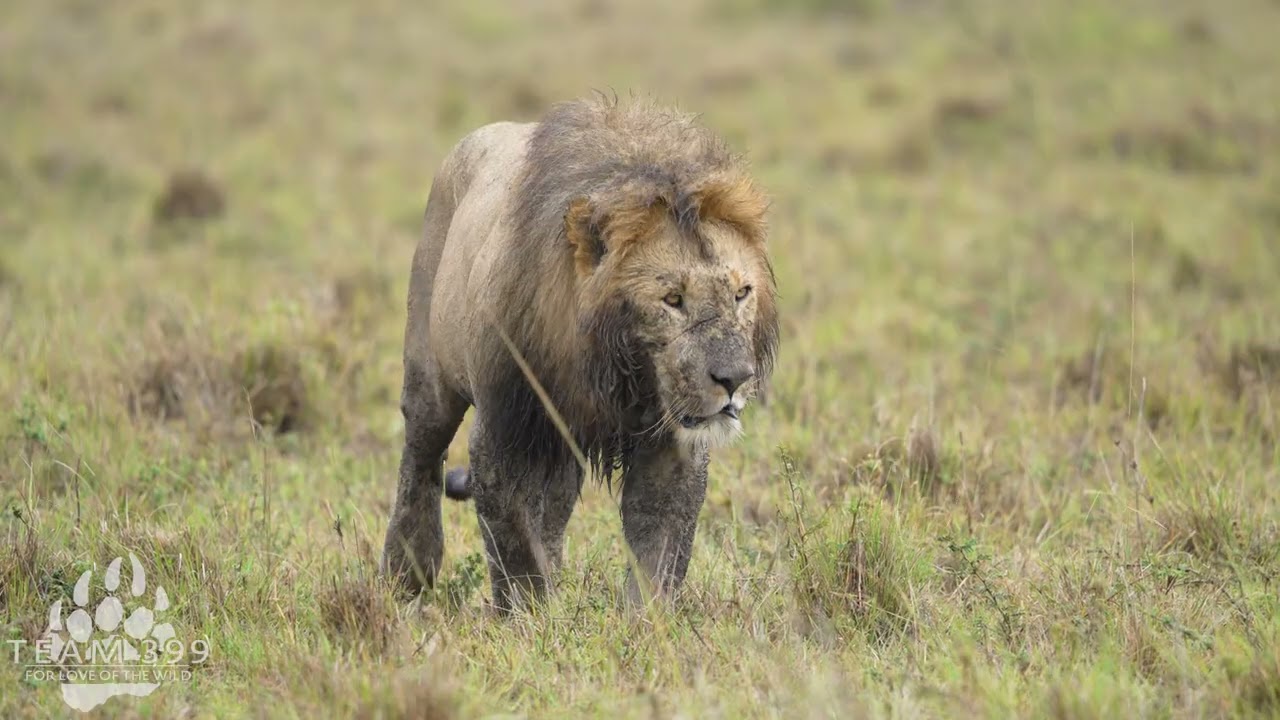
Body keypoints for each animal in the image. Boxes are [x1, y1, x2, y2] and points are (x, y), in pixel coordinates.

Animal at [381, 96, 778, 610]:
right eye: (673, 299)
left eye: (741, 293)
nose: (735, 378)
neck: (613, 368)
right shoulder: (505, 428)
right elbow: (513, 543)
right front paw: (531, 618)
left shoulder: (672, 446)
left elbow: (660, 547)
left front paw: (648, 622)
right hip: (432, 378)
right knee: (422, 457)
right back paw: (405, 578)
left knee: (554, 504)